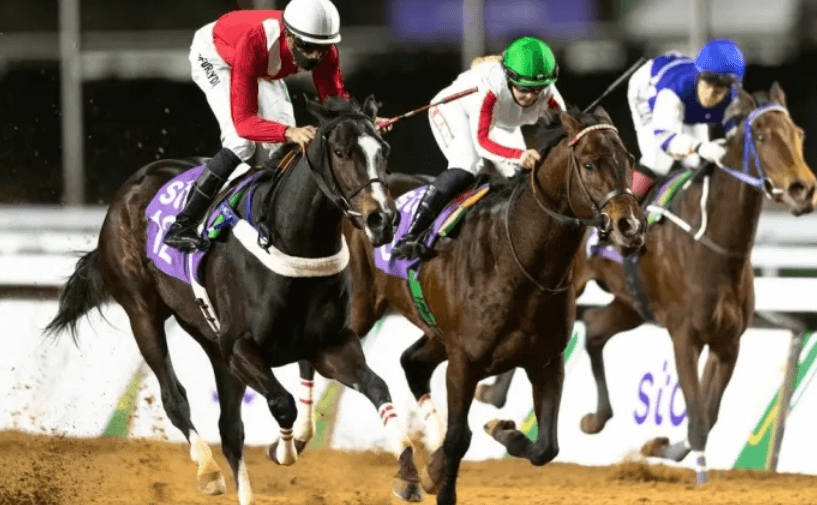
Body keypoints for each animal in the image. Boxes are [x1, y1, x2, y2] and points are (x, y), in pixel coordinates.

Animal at [45, 96, 425, 505]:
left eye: (384, 151)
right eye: (340, 152)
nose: (382, 219)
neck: (292, 242)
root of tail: (129, 189)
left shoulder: (329, 345)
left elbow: (377, 386)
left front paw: (408, 474)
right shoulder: (241, 346)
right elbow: (283, 403)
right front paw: (283, 450)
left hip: (210, 340)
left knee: (229, 430)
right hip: (142, 311)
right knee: (175, 398)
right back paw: (207, 468)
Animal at [297, 106, 648, 505]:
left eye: (628, 159)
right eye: (589, 163)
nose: (630, 226)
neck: (518, 257)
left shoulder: (546, 361)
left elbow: (546, 448)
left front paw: (499, 432)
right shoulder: (464, 362)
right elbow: (457, 440)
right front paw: (441, 475)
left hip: (435, 332)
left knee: (412, 362)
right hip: (356, 312)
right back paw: (298, 434)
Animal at [475, 83, 817, 485]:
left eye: (799, 135)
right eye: (761, 137)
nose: (802, 189)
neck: (716, 245)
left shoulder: (728, 342)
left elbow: (709, 414)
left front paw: (660, 447)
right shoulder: (685, 336)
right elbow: (696, 414)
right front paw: (698, 475)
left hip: (632, 305)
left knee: (594, 328)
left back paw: (593, 417)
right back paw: (494, 394)